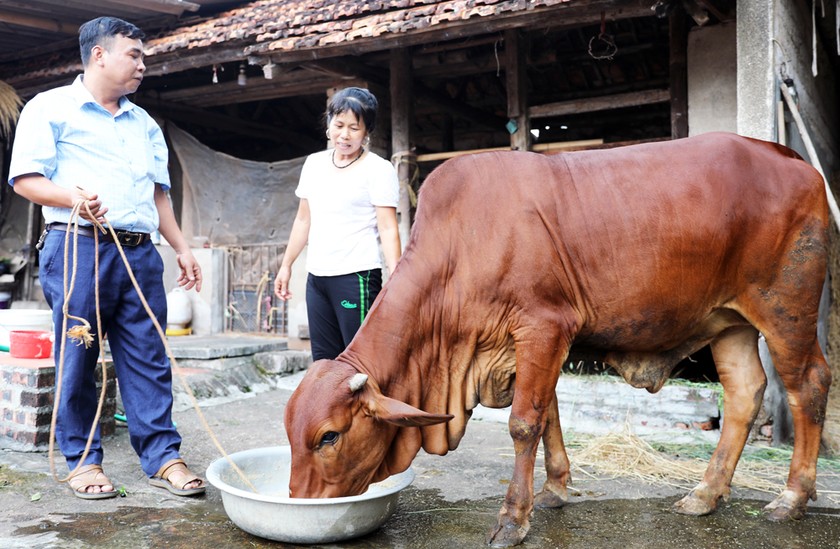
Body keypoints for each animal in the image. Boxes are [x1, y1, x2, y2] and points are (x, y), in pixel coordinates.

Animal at [284, 132, 832, 544]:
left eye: (328, 436)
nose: (298, 501)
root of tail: (796, 162)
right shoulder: (530, 346)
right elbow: (548, 416)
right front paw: (555, 489)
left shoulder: (543, 327)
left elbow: (524, 423)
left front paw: (512, 519)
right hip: (729, 321)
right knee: (744, 394)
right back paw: (704, 494)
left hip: (785, 310)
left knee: (808, 384)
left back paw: (791, 498)